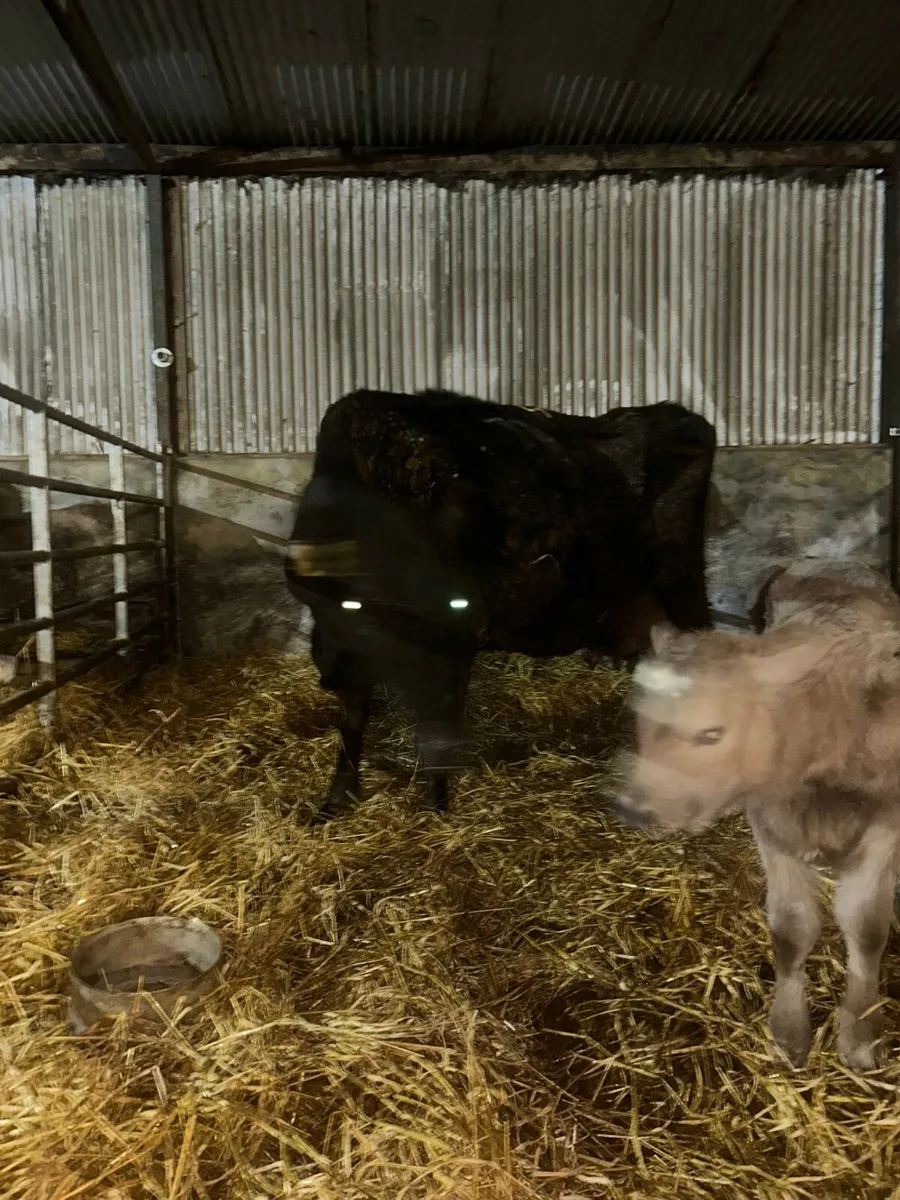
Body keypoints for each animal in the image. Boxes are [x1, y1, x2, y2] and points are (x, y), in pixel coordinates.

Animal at [285, 388, 716, 820]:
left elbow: (434, 732)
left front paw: (435, 810)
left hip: (684, 587)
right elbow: (353, 723)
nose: (330, 672)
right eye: (320, 602)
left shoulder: (450, 651)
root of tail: (677, 415)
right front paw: (336, 799)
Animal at [612, 557, 900, 1071]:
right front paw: (788, 1031)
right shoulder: (770, 822)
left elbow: (866, 927)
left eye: (711, 732)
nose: (632, 808)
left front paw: (862, 1031)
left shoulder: (886, 824)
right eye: (642, 721)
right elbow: (791, 928)